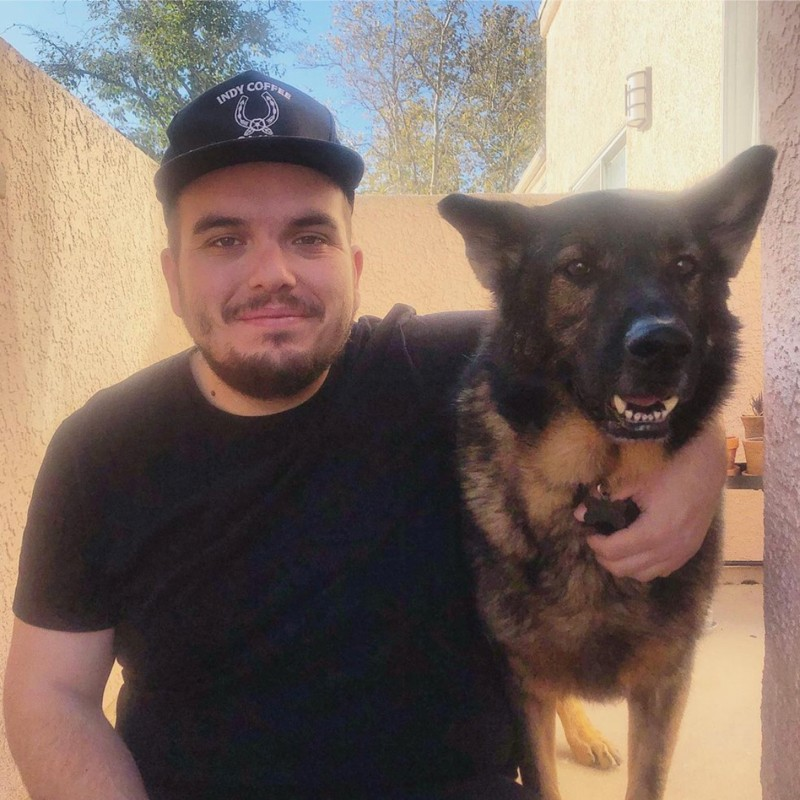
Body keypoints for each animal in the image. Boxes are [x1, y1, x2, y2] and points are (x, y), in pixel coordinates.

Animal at [439, 145, 775, 800]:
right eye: (577, 268)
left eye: (685, 265)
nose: (664, 346)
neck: (598, 486)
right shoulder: (523, 684)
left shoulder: (663, 687)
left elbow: (648, 781)